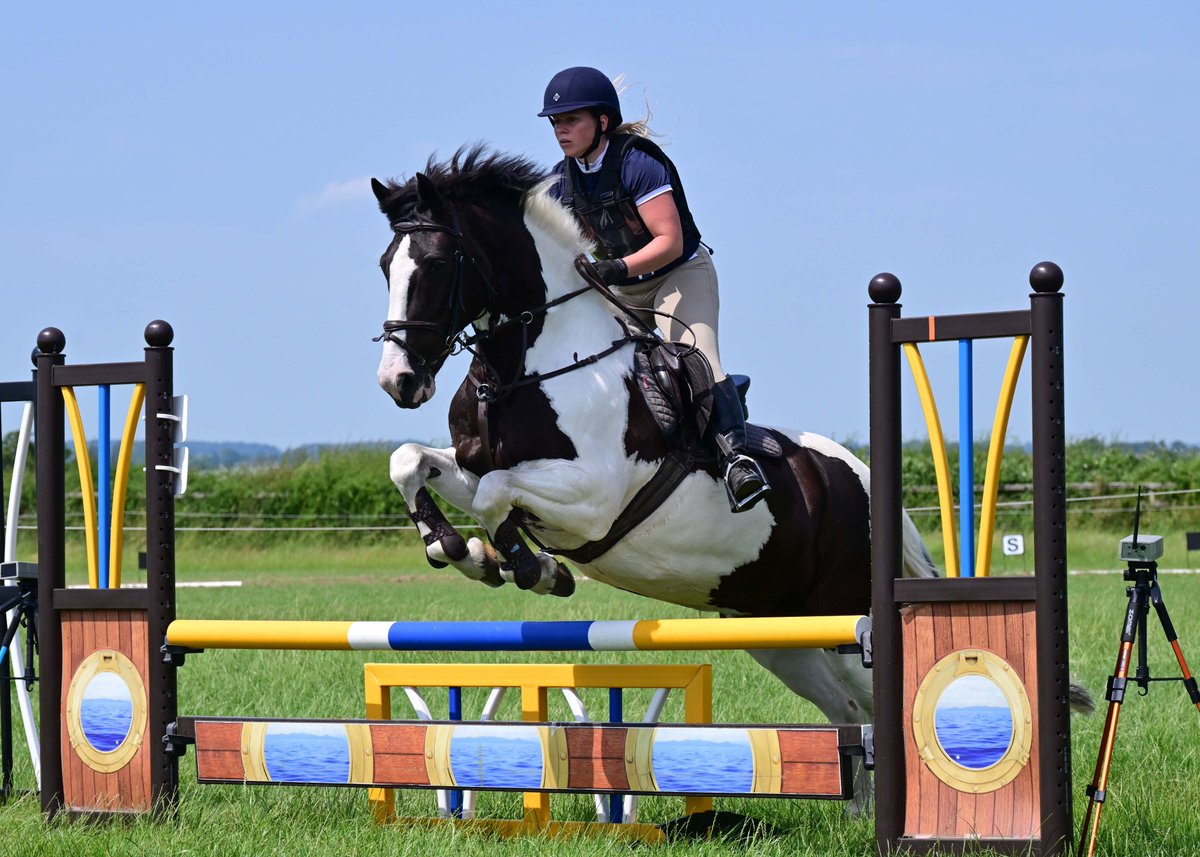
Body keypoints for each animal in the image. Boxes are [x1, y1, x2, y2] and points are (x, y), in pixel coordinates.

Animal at [364, 147, 936, 806]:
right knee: (846, 713)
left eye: (434, 265)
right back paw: (855, 813)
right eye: (385, 266)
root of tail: (863, 481)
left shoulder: (592, 496)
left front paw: (530, 567)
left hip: (845, 623)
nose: (399, 381)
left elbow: (492, 496)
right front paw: (460, 551)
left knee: (876, 706)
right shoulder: (478, 460)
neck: (531, 367)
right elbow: (410, 462)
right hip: (774, 628)